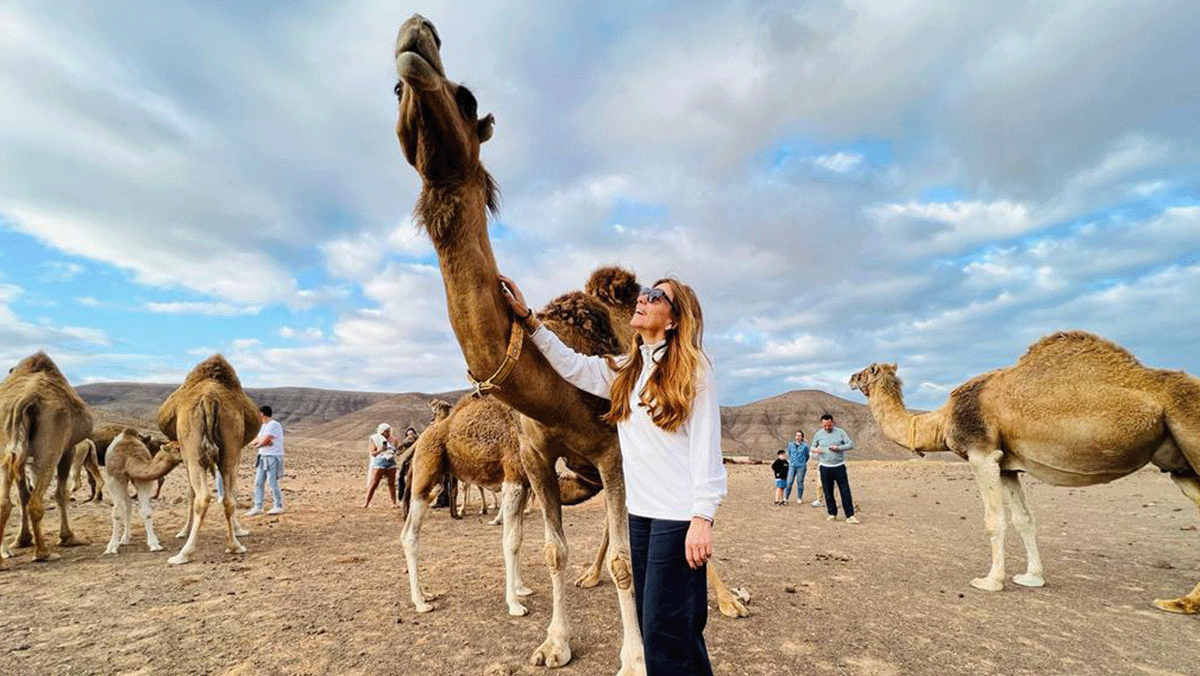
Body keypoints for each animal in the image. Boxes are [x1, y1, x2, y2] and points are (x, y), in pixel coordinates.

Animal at [0, 352, 92, 566]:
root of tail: (24, 399)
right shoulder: (67, 449)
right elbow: (60, 494)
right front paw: (68, 537)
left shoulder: (23, 457)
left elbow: (23, 495)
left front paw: (23, 540)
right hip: (50, 449)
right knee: (36, 501)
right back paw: (43, 553)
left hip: (6, 448)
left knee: (6, 502)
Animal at [157, 355, 260, 565]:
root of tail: (209, 398)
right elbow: (230, 491)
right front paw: (239, 531)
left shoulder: (187, 458)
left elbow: (190, 494)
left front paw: (183, 531)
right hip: (230, 441)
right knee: (227, 498)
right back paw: (234, 546)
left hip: (193, 450)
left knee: (203, 496)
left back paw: (184, 553)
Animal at [393, 17, 744, 670]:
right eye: (393, 92)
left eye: (468, 98)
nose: (416, 34)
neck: (553, 390)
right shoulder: (535, 457)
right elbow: (554, 550)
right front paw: (554, 641)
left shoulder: (611, 450)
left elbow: (629, 558)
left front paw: (634, 656)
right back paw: (588, 576)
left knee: (688, 513)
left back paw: (730, 600)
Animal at [848, 330, 1200, 614]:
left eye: (866, 370)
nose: (850, 378)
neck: (941, 420)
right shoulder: (1008, 466)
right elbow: (1024, 520)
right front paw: (1032, 577)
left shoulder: (982, 453)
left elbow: (994, 521)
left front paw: (990, 580)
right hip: (1178, 463)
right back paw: (1182, 602)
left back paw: (1181, 603)